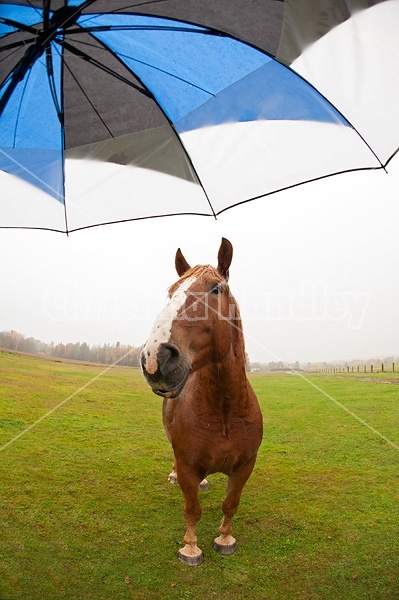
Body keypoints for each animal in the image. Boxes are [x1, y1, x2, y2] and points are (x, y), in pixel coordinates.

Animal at [140, 237, 262, 564]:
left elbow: (231, 504)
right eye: (171, 291)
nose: (155, 356)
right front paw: (191, 548)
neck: (224, 412)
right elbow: (192, 510)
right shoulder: (187, 466)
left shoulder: (246, 466)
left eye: (216, 289)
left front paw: (225, 538)